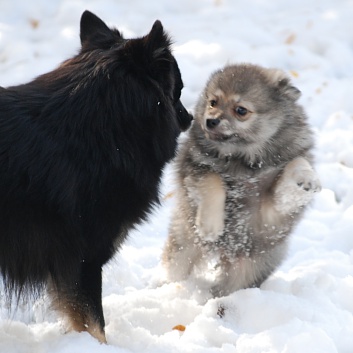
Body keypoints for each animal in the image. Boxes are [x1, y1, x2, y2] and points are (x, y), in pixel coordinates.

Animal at [161, 64, 320, 296]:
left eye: (241, 110)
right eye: (213, 102)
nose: (210, 120)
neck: (244, 159)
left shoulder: (270, 208)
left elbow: (296, 163)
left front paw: (307, 179)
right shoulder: (196, 167)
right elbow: (213, 183)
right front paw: (210, 226)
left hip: (248, 269)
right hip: (184, 245)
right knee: (174, 269)